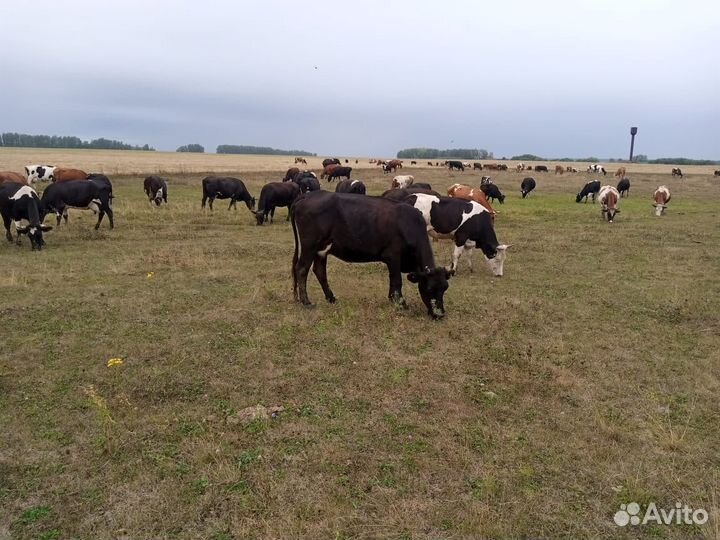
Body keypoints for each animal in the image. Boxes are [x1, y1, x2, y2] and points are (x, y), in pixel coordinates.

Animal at [291, 191, 452, 319]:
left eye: (445, 288)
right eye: (430, 289)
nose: (439, 314)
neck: (408, 224)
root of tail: (308, 195)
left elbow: (393, 281)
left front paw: (393, 300)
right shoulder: (393, 256)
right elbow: (397, 280)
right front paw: (401, 304)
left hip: (321, 250)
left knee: (319, 271)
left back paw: (331, 298)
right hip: (309, 246)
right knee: (301, 269)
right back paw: (306, 302)